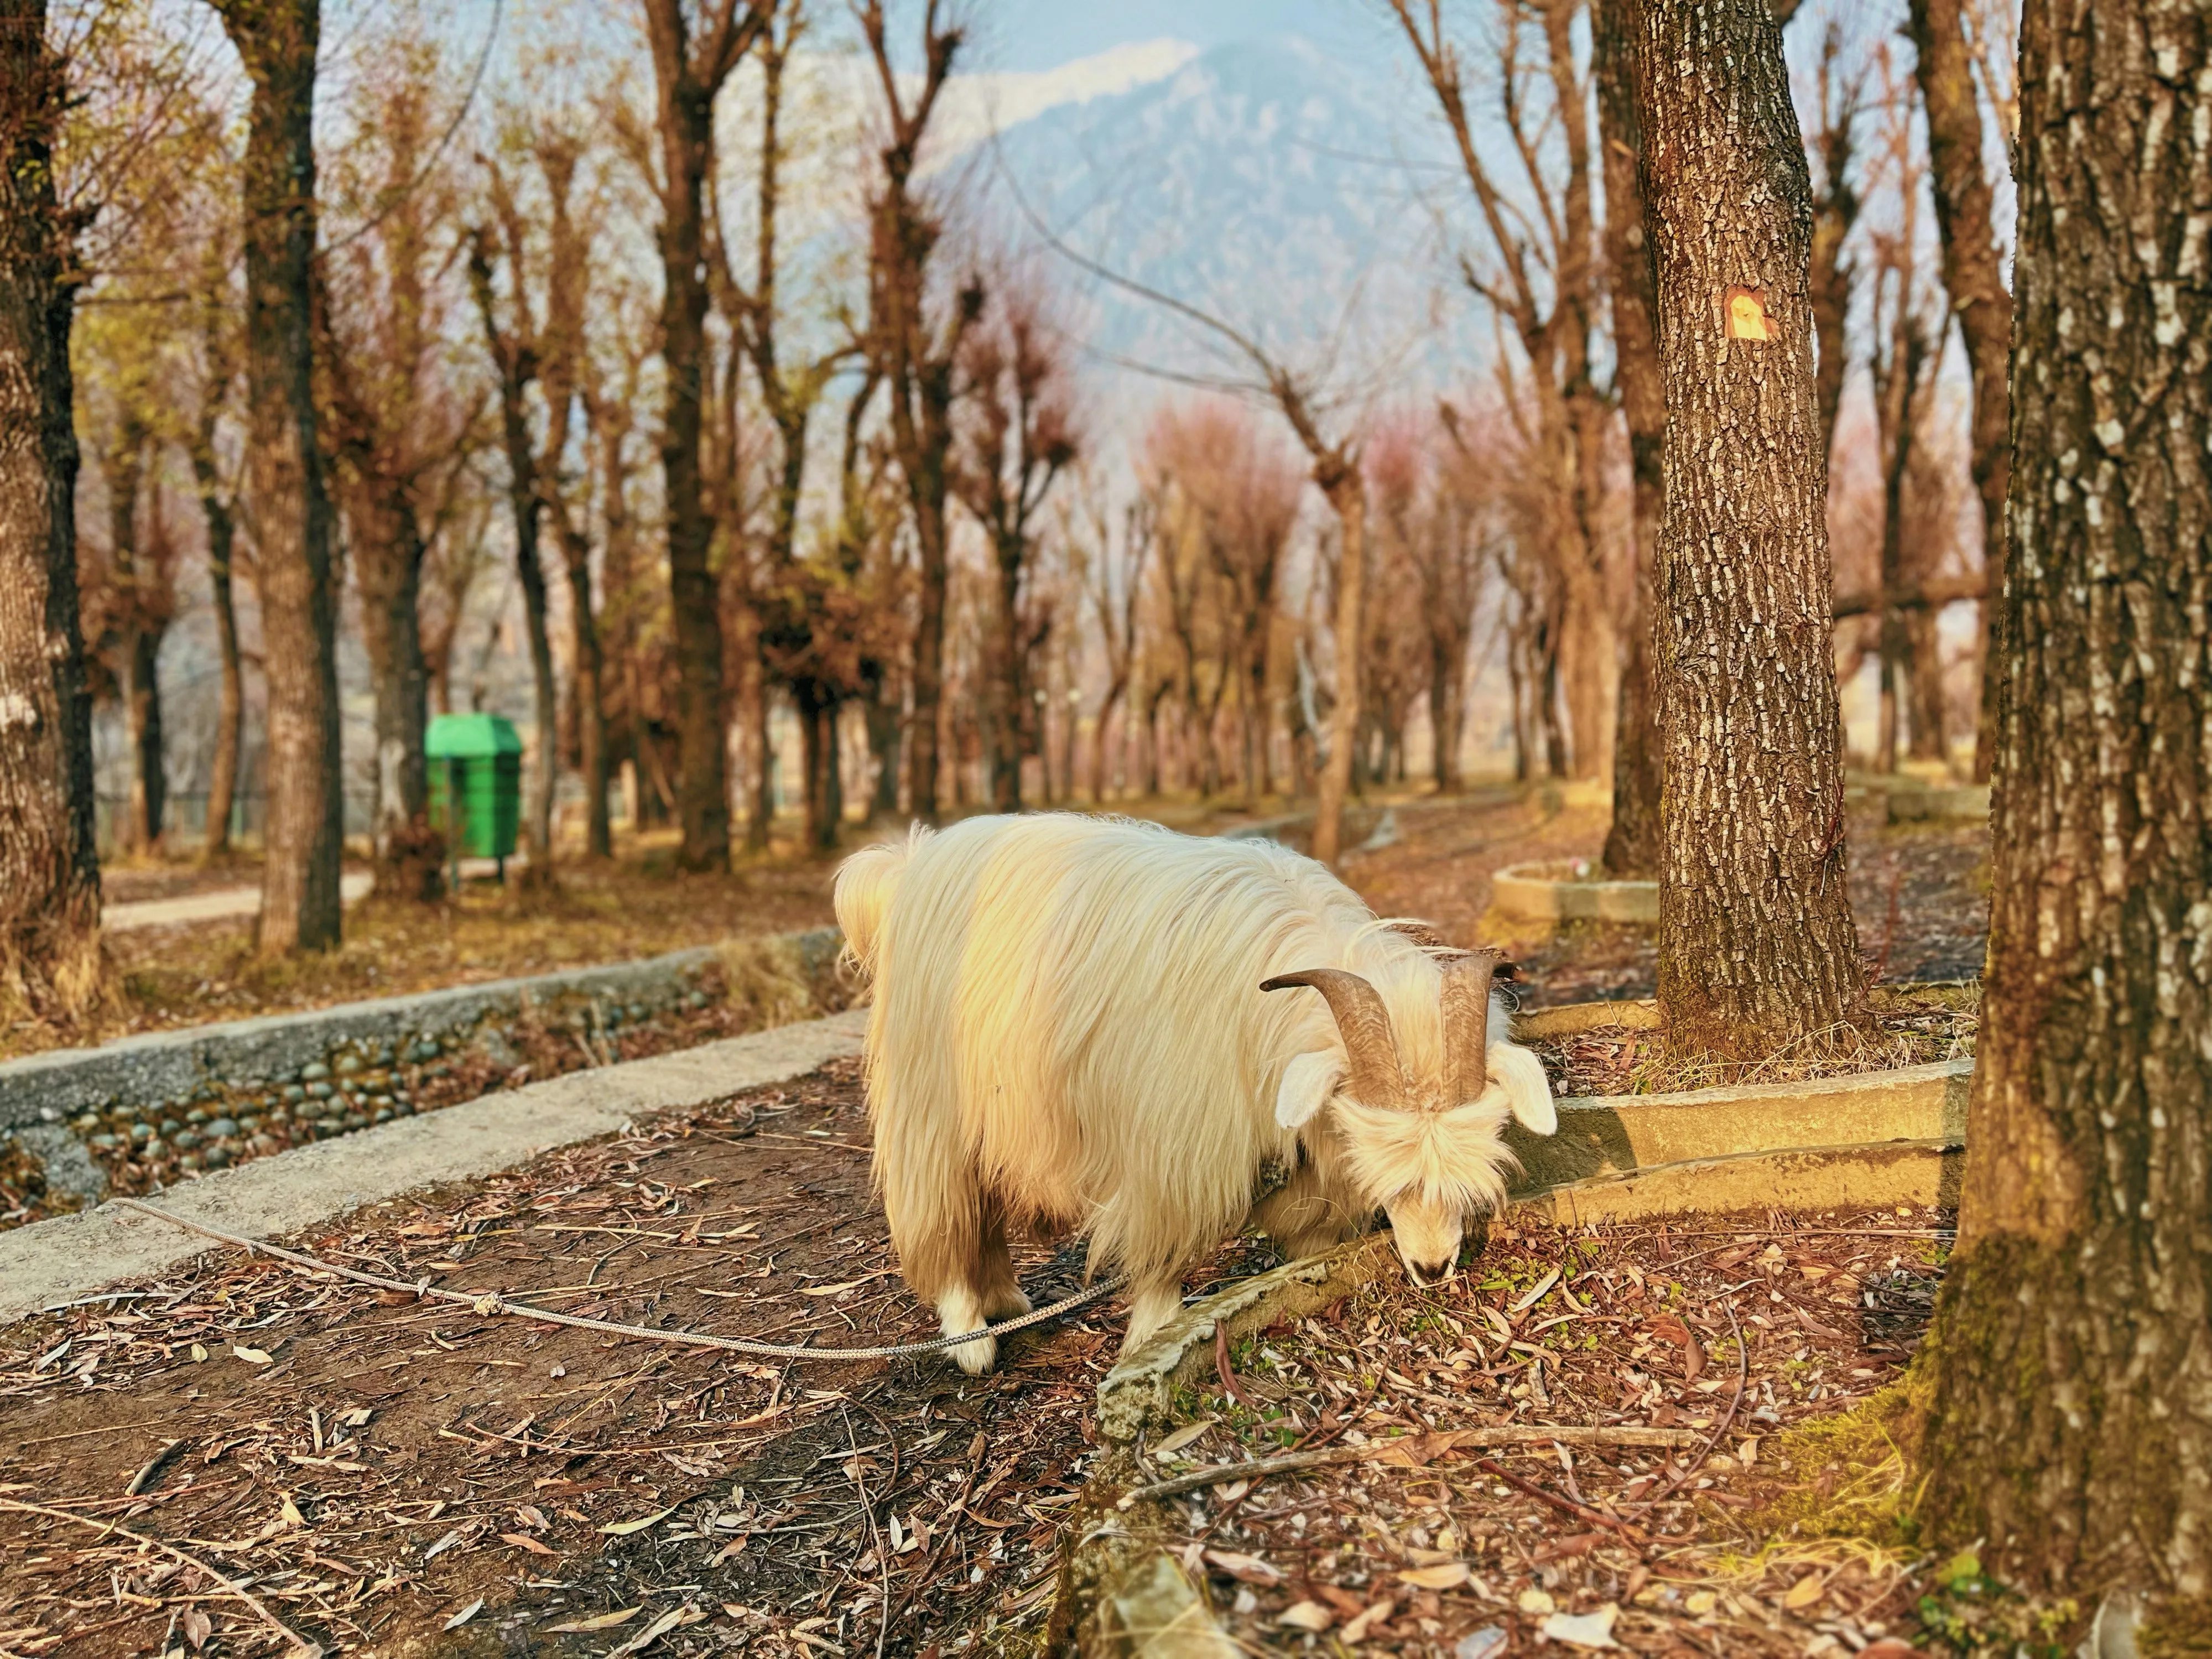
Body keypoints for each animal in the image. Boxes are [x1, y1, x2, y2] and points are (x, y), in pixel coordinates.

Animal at [834, 812, 1556, 1373]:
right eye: (1393, 1172)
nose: (1434, 1268)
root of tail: (909, 862)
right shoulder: (1172, 1148)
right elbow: (1164, 1257)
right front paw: (1149, 1342)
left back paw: (1008, 1301)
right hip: (932, 1099)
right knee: (943, 1205)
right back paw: (972, 1340)